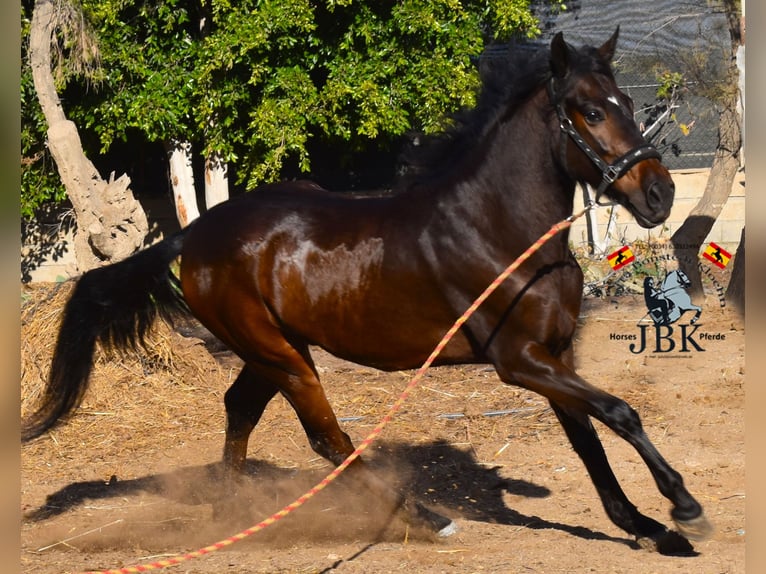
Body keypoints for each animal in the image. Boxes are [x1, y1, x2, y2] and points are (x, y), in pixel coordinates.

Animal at [22, 29, 712, 552]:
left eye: (628, 103)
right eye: (591, 112)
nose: (660, 195)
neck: (498, 230)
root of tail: (192, 236)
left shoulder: (555, 355)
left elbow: (589, 437)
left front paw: (646, 526)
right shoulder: (518, 361)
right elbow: (619, 412)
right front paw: (683, 507)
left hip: (275, 350)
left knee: (240, 408)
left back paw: (232, 514)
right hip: (282, 357)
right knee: (328, 439)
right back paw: (427, 518)